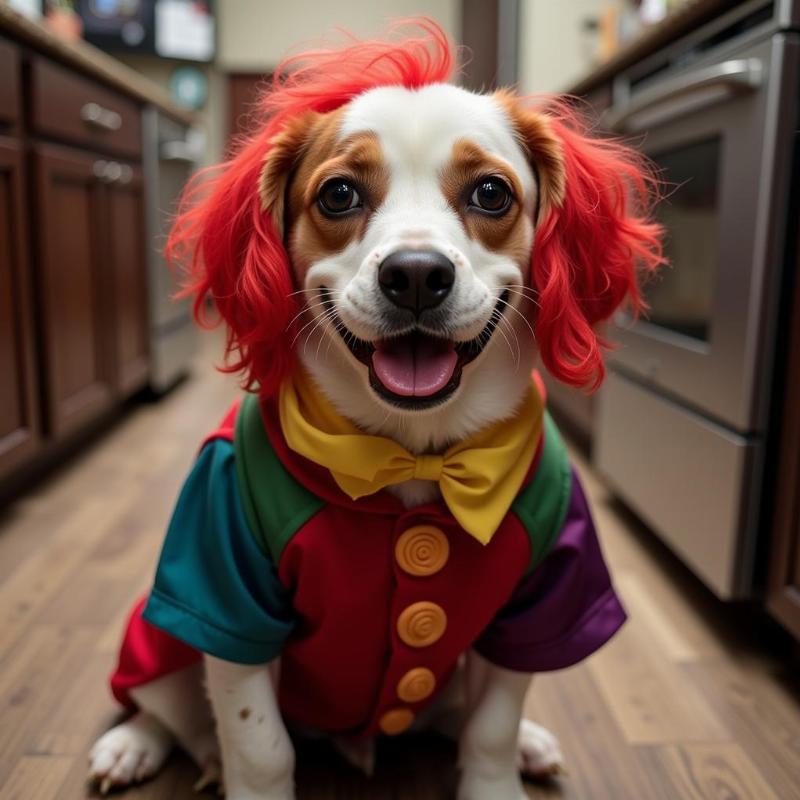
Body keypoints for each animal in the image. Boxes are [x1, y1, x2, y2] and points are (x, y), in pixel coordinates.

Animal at [89, 18, 664, 800]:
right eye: (338, 195)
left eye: (491, 193)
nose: (416, 274)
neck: (414, 454)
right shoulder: (221, 588)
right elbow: (259, 743)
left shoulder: (541, 593)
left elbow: (492, 723)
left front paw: (499, 769)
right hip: (158, 630)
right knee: (164, 705)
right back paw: (135, 746)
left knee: (455, 713)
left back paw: (531, 744)